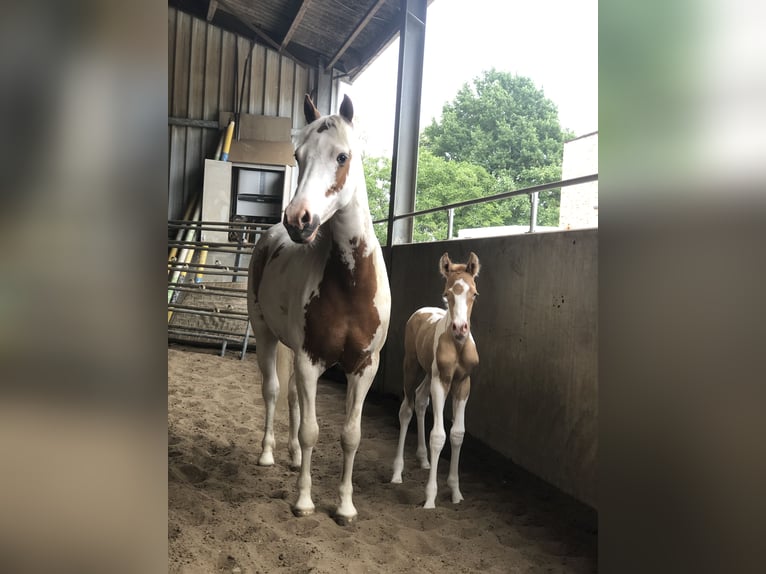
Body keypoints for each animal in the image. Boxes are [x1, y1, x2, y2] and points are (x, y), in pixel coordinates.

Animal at [249, 94, 392, 528]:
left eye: (342, 156)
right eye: (298, 156)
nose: (298, 219)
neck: (350, 285)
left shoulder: (364, 367)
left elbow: (351, 435)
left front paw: (345, 507)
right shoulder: (310, 360)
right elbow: (312, 431)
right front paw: (304, 501)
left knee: (294, 399)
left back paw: (294, 458)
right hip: (265, 335)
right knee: (274, 392)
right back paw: (269, 454)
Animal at [392, 254, 484, 510]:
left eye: (474, 293)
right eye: (447, 293)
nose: (460, 328)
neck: (458, 345)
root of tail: (421, 311)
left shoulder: (463, 383)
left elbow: (457, 434)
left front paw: (455, 491)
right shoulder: (441, 381)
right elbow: (438, 436)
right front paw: (430, 497)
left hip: (427, 373)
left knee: (421, 400)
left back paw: (424, 460)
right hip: (411, 366)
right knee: (406, 409)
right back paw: (397, 473)